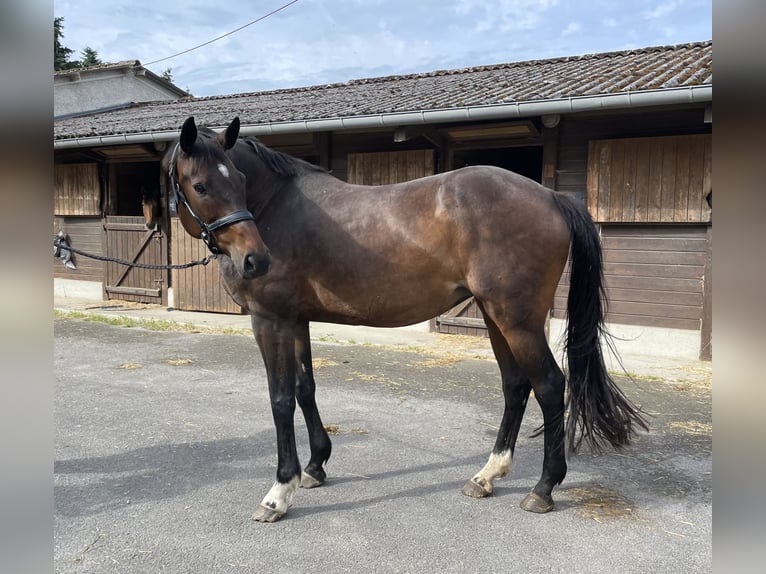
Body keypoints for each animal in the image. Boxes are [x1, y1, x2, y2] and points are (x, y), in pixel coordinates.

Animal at [162, 116, 648, 520]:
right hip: (496, 317)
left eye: (240, 181)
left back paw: (543, 489)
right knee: (516, 385)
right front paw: (316, 466)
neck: (274, 206)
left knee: (548, 386)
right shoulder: (295, 320)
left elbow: (280, 400)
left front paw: (279, 493)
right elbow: (304, 389)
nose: (255, 260)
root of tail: (550, 194)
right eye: (201, 185)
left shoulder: (270, 320)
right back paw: (486, 476)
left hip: (517, 319)